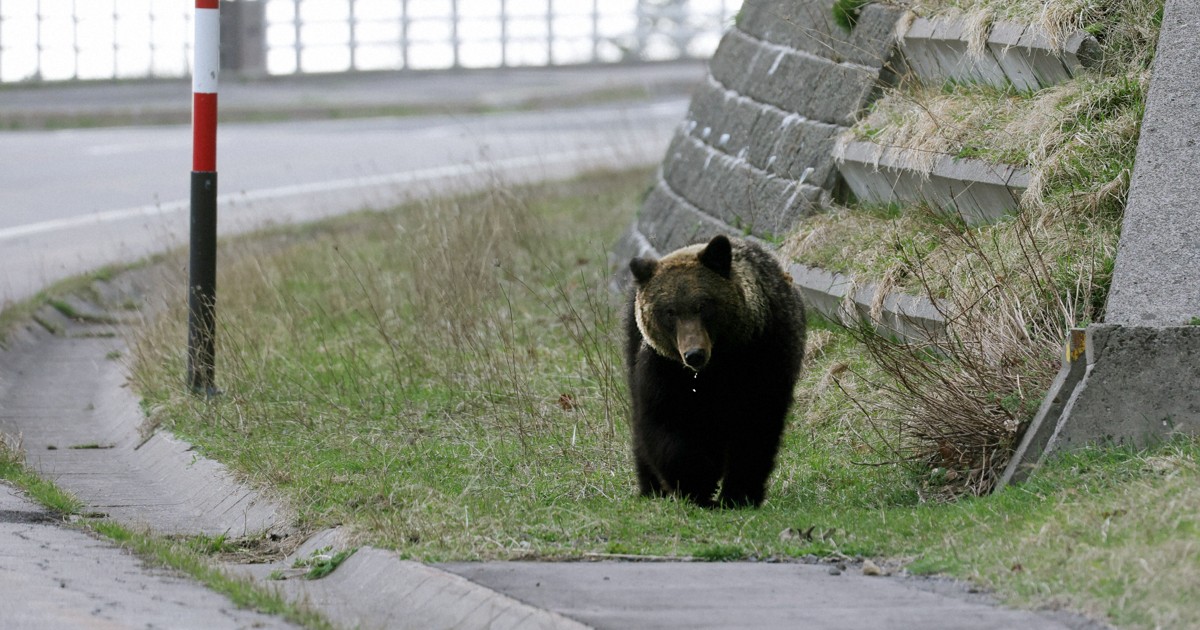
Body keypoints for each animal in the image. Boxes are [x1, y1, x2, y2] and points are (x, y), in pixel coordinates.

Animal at [625, 234, 807, 508]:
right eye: (669, 311)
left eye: (703, 305)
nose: (694, 354)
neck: (715, 367)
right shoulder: (665, 371)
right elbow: (665, 424)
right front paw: (696, 486)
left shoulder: (762, 358)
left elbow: (755, 428)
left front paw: (738, 494)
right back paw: (651, 488)